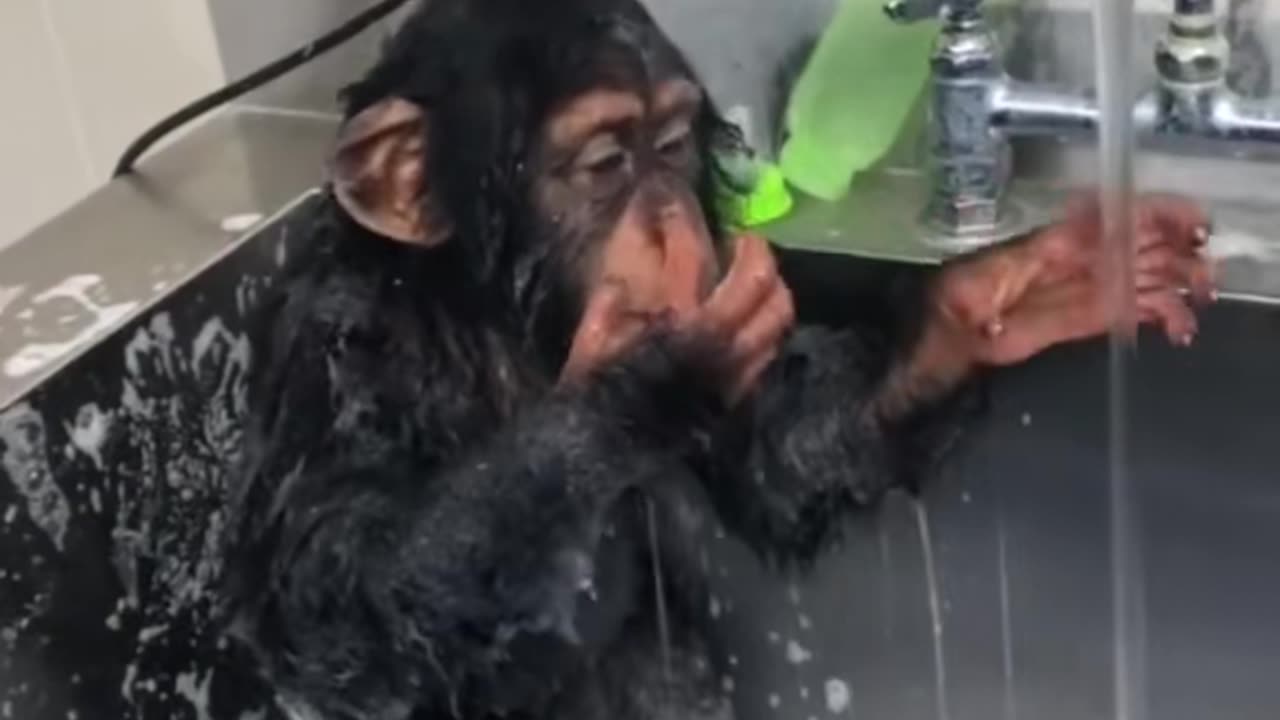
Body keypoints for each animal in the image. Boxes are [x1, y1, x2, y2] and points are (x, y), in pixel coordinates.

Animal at [219, 0, 1215, 718]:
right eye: (606, 164)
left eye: (667, 147)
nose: (669, 221)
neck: (493, 320)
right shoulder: (343, 351)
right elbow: (341, 613)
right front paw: (655, 375)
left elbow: (785, 461)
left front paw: (1010, 291)